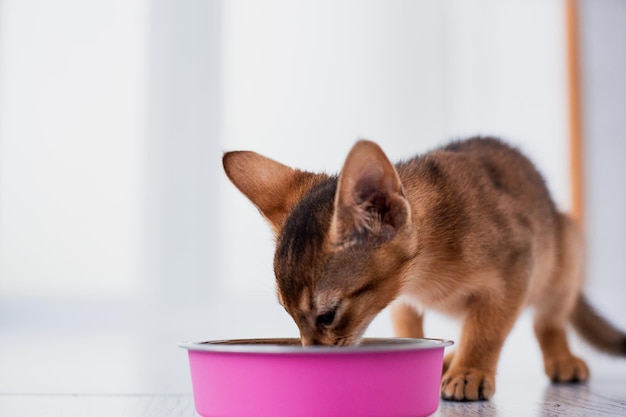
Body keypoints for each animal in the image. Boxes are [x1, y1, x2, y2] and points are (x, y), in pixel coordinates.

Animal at [222, 138, 620, 402]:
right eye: (289, 314)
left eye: (327, 315)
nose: (310, 355)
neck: (425, 275)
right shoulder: (400, 299)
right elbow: (410, 326)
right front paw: (450, 361)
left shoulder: (517, 269)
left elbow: (487, 331)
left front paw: (472, 371)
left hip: (564, 256)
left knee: (548, 321)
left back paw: (560, 358)